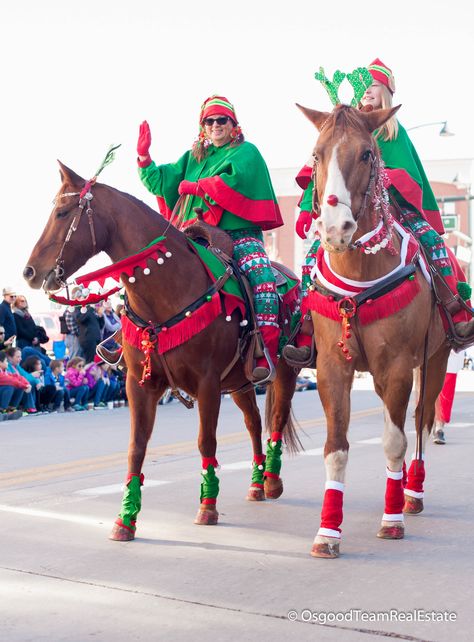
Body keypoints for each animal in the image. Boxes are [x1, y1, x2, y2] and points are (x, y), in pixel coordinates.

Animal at [23, 162, 296, 536]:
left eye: (62, 212)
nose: (29, 272)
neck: (167, 291)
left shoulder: (208, 383)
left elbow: (206, 441)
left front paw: (207, 506)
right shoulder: (140, 384)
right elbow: (136, 447)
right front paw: (126, 518)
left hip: (284, 371)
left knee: (276, 419)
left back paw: (271, 480)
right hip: (240, 382)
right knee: (254, 422)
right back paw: (256, 483)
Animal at [298, 104, 450, 556]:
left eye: (367, 154)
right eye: (316, 155)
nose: (335, 227)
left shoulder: (397, 365)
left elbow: (396, 440)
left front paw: (392, 518)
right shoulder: (333, 368)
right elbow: (336, 448)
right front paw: (328, 532)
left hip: (434, 360)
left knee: (419, 422)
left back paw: (410, 495)